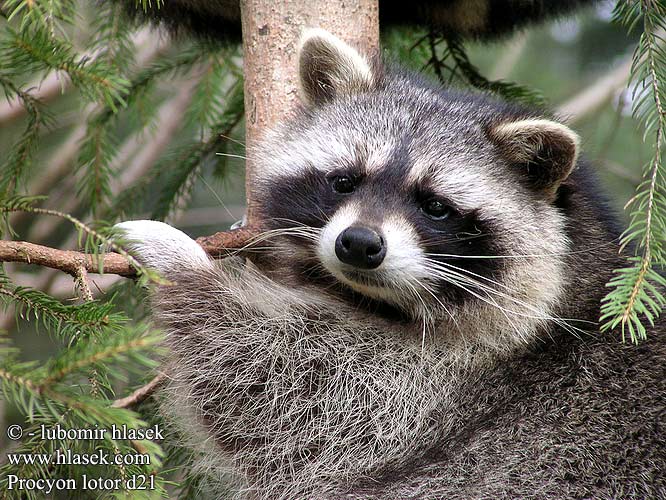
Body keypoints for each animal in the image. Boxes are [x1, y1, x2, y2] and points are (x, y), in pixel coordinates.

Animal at [115, 29, 664, 498]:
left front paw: (182, 265)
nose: (358, 244)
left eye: (436, 207)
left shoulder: (454, 391)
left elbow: (284, 392)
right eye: (344, 181)